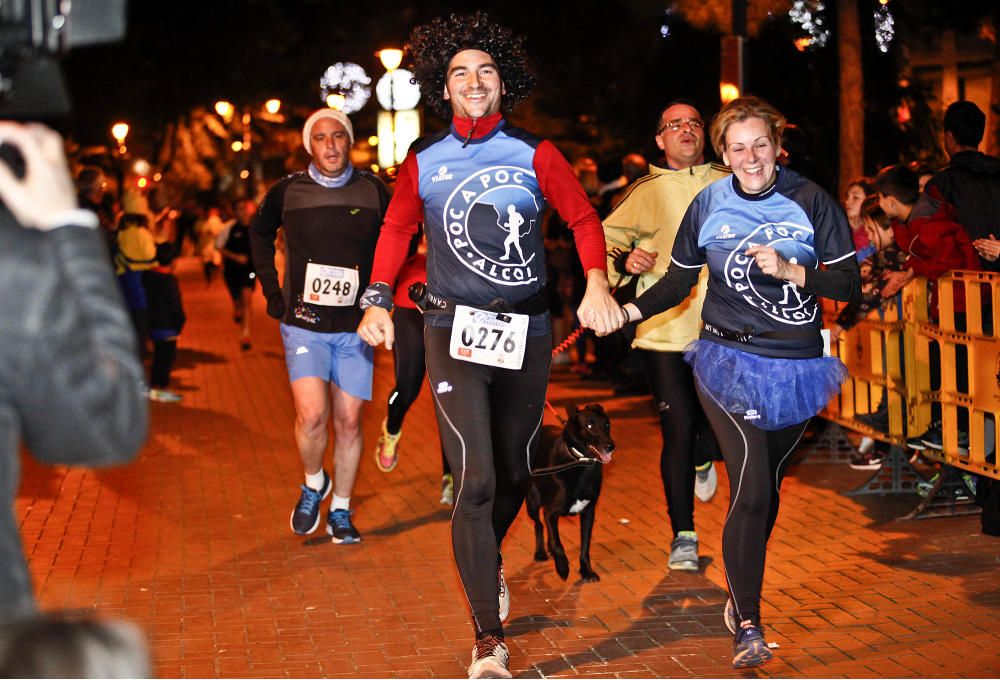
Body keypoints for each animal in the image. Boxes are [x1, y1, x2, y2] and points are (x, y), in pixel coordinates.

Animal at [528, 404, 612, 584]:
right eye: (589, 426)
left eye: (607, 425)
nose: (610, 446)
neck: (579, 462)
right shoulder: (551, 512)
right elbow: (558, 544)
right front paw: (562, 567)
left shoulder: (588, 513)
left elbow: (585, 546)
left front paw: (586, 571)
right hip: (532, 502)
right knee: (539, 524)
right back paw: (540, 552)